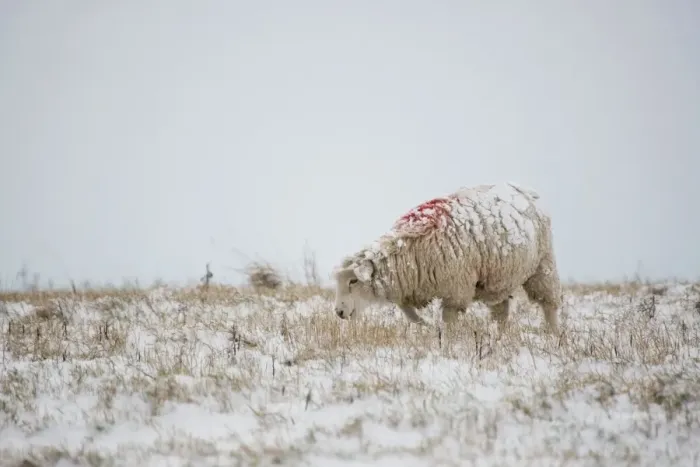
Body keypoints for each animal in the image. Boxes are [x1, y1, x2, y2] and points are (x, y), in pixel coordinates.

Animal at [332, 182, 562, 333]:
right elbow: (408, 313)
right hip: (498, 279)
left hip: (542, 266)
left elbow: (449, 321)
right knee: (501, 312)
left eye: (353, 281)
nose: (339, 312)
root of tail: (527, 192)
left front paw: (447, 343)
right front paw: (426, 326)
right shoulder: (411, 288)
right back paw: (500, 337)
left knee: (548, 304)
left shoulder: (455, 290)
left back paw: (552, 335)